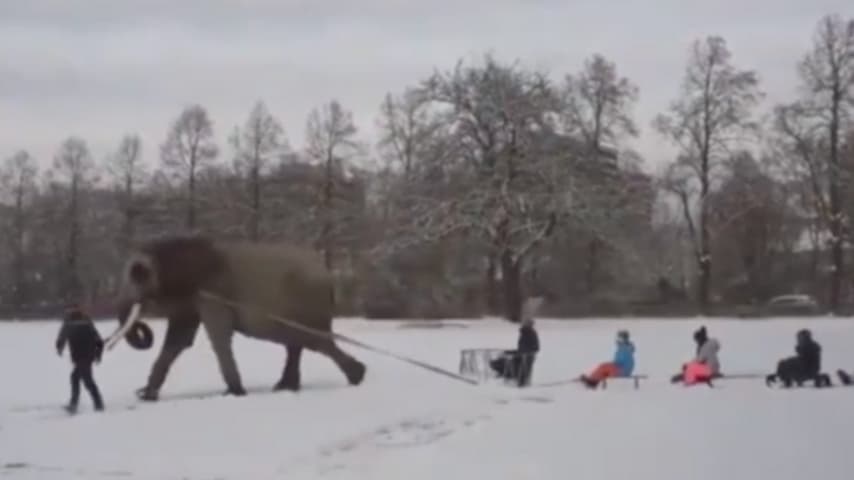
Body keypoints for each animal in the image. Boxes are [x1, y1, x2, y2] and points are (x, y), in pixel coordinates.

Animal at [105, 234, 366, 400]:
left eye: (135, 277)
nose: (141, 325)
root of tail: (328, 274)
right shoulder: (193, 298)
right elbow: (179, 340)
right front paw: (146, 395)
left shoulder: (213, 293)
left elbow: (218, 336)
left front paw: (234, 393)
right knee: (298, 343)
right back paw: (286, 386)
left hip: (307, 300)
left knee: (314, 340)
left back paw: (357, 376)